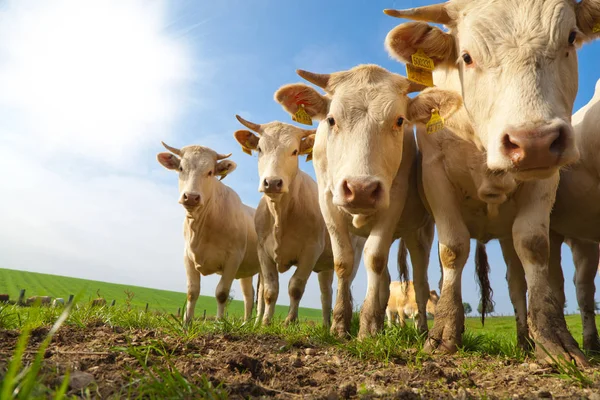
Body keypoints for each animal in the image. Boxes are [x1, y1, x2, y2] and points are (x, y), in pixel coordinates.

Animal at [158, 142, 262, 324]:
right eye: (181, 168)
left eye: (210, 172)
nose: (191, 197)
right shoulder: (188, 256)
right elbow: (192, 291)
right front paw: (186, 323)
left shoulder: (233, 258)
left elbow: (221, 293)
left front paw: (219, 324)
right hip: (246, 270)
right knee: (249, 295)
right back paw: (245, 323)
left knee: (265, 295)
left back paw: (259, 325)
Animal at [234, 116, 366, 328]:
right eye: (260, 148)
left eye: (294, 151)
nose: (272, 182)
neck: (280, 215)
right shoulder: (263, 251)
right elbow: (270, 290)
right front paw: (265, 322)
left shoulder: (311, 251)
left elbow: (295, 287)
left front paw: (290, 321)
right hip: (326, 265)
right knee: (326, 293)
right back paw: (326, 324)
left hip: (354, 254)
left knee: (342, 286)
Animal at [274, 65, 462, 338]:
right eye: (331, 120)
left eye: (399, 120)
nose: (361, 189)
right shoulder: (328, 203)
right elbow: (344, 263)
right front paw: (341, 324)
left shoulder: (393, 202)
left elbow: (374, 259)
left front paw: (367, 329)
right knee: (384, 280)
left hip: (420, 232)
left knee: (420, 281)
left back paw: (421, 330)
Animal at [384, 0, 600, 364]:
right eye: (466, 56)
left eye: (570, 38)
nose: (534, 141)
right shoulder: (435, 175)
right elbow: (453, 249)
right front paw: (444, 334)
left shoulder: (545, 181)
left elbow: (533, 246)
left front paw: (553, 339)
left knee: (518, 281)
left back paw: (526, 340)